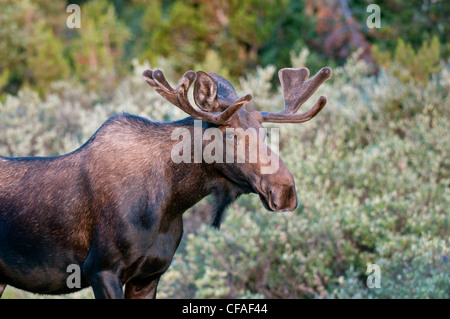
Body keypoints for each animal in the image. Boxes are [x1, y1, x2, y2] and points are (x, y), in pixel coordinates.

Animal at [0, 66, 330, 298]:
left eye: (265, 133)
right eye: (230, 135)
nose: (286, 191)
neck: (172, 202)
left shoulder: (150, 274)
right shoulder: (101, 270)